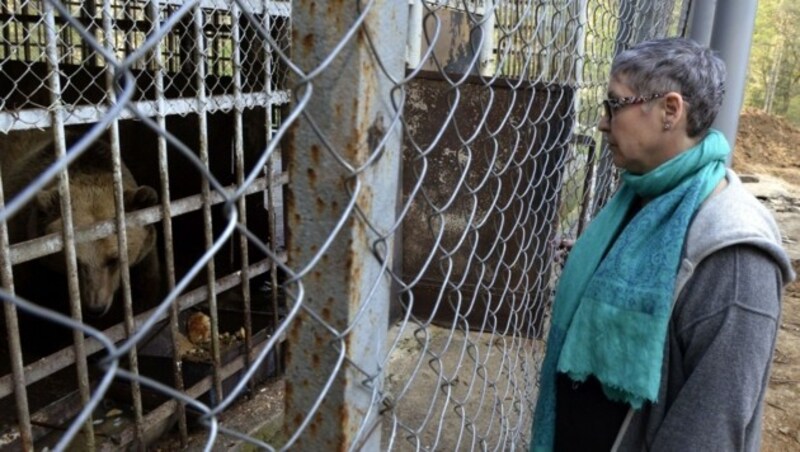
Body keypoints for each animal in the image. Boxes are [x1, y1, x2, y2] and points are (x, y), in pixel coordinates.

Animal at [0, 127, 162, 356]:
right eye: (75, 262)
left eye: (114, 259)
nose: (96, 308)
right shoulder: (32, 261)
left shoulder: (142, 261)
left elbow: (143, 296)